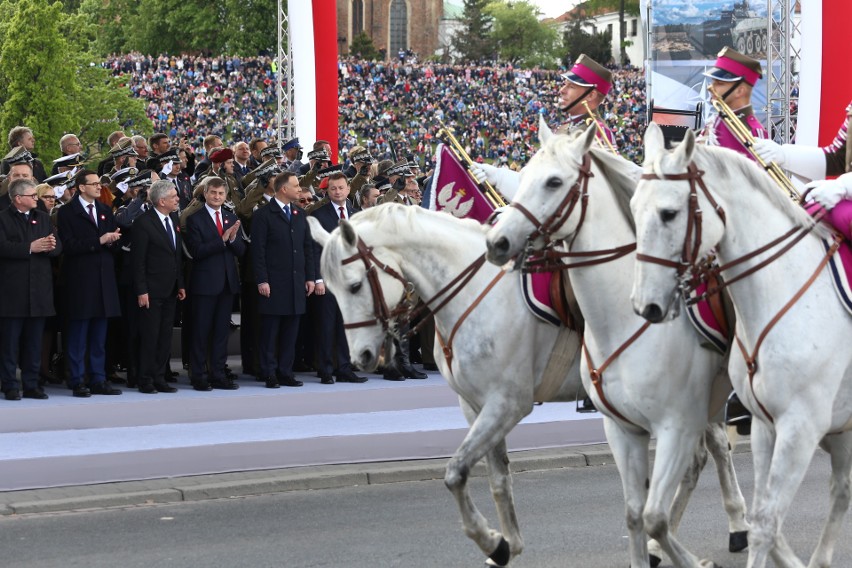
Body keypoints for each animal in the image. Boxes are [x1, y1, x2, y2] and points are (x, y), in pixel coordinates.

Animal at [310, 206, 588, 564]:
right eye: (330, 290)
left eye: (355, 286)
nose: (362, 357)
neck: (478, 293)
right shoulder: (476, 406)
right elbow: (498, 479)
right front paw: (507, 545)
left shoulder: (507, 403)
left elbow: (456, 473)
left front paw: (491, 541)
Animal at [486, 125, 744, 568]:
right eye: (522, 176)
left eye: (554, 182)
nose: (497, 242)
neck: (625, 318)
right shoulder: (623, 429)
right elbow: (636, 514)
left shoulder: (676, 425)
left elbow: (655, 516)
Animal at [632, 123, 852, 568]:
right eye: (632, 207)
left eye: (669, 213)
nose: (646, 306)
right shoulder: (768, 425)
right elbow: (763, 515)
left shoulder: (800, 428)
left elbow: (766, 523)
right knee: (841, 489)